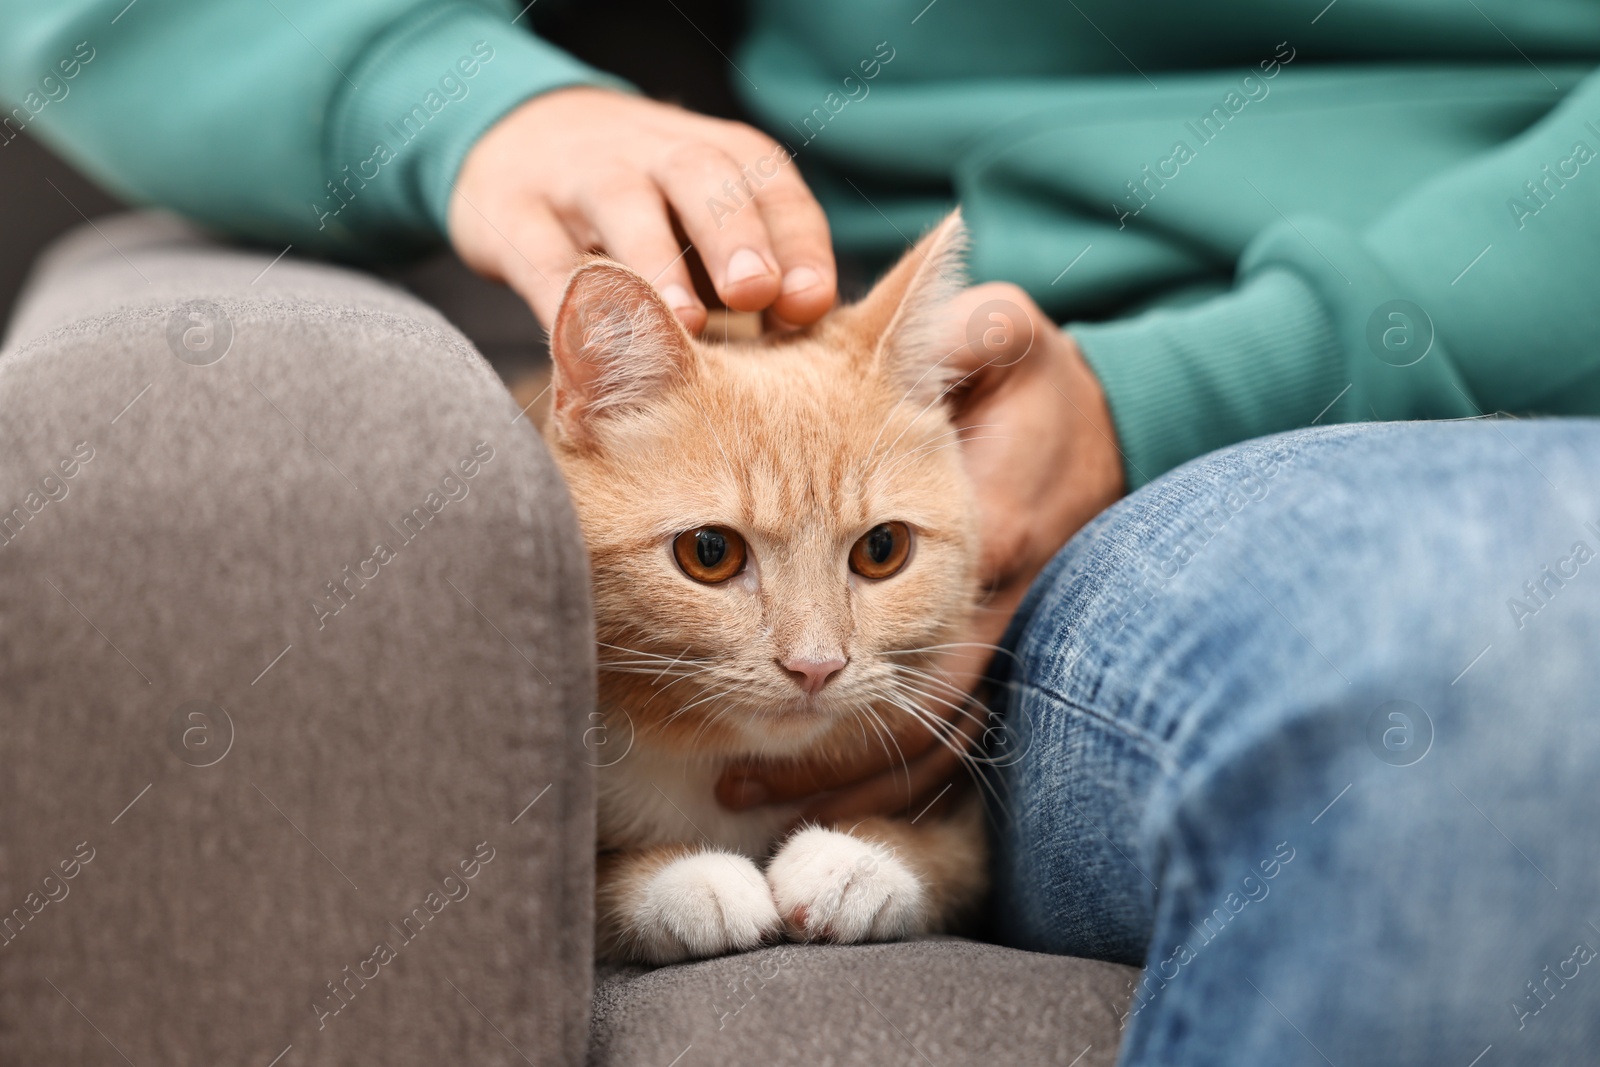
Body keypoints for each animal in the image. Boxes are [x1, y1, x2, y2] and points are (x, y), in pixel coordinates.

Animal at [547, 212, 985, 966]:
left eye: (882, 549)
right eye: (710, 553)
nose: (815, 665)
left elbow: (955, 852)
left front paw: (858, 861)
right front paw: (681, 877)